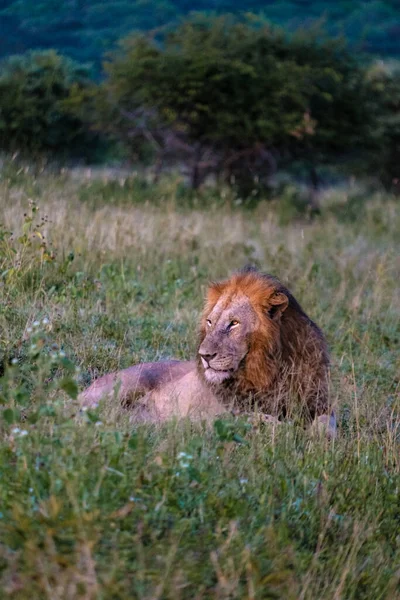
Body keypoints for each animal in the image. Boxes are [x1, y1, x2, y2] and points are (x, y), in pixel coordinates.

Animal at [79, 270, 336, 434]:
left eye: (234, 324)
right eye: (210, 322)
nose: (205, 356)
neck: (269, 372)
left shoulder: (319, 403)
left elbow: (327, 425)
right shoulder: (228, 412)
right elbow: (262, 420)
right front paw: (289, 431)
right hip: (121, 386)